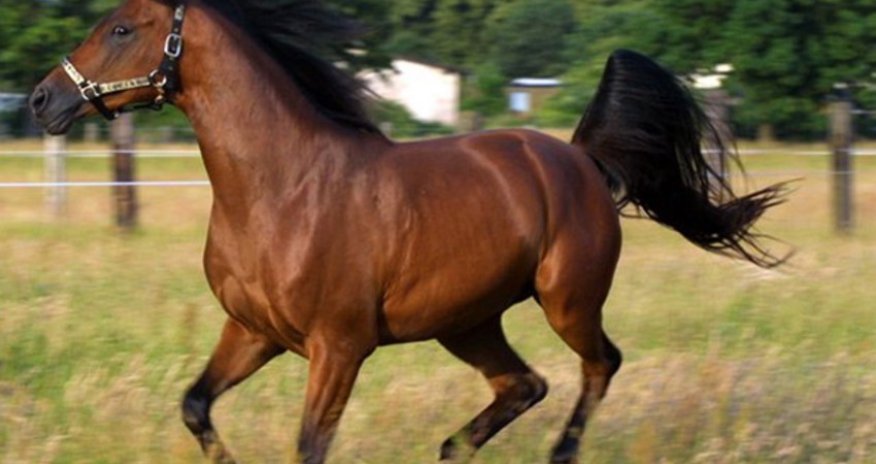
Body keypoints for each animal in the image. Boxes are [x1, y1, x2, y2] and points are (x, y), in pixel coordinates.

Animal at [29, 1, 786, 462]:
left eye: (123, 29)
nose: (42, 98)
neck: (283, 189)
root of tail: (582, 160)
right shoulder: (252, 333)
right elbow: (195, 406)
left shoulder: (339, 348)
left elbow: (309, 446)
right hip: (467, 322)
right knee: (524, 385)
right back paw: (453, 448)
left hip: (568, 302)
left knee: (599, 366)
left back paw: (560, 453)